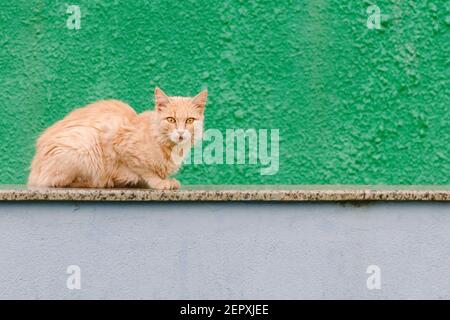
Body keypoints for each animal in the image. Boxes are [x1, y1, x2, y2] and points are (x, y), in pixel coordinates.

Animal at [26, 87, 206, 189]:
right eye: (171, 120)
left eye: (189, 120)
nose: (181, 133)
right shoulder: (123, 146)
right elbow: (145, 171)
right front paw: (160, 182)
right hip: (84, 145)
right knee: (55, 182)